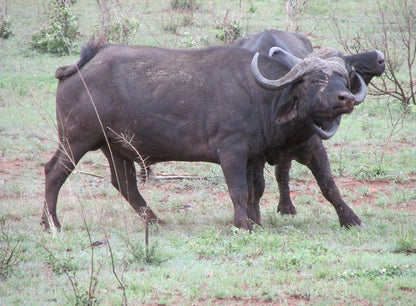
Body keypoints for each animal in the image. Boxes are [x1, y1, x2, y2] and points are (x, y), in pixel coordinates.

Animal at [42, 41, 366, 232]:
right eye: (316, 79)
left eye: (344, 77)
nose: (346, 99)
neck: (264, 97)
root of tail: (81, 65)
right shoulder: (232, 151)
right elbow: (239, 190)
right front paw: (243, 225)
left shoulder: (261, 155)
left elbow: (323, 186)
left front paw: (351, 219)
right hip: (76, 140)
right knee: (54, 172)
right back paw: (51, 223)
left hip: (114, 147)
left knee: (124, 184)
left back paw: (155, 220)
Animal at [232, 29, 386, 220]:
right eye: (317, 81)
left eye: (344, 78)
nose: (379, 58)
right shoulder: (255, 155)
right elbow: (257, 186)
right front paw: (254, 217)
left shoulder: (314, 148)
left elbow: (328, 185)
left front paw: (351, 219)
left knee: (282, 172)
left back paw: (286, 207)